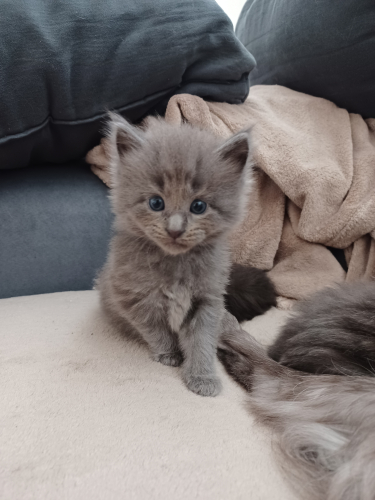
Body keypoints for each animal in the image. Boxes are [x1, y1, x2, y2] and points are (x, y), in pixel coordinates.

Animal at [97, 113, 276, 398]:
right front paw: (170, 354)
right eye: (156, 203)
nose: (175, 229)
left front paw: (202, 376)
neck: (176, 264)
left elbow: (201, 342)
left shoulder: (208, 300)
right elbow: (156, 330)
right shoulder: (133, 298)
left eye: (198, 206)